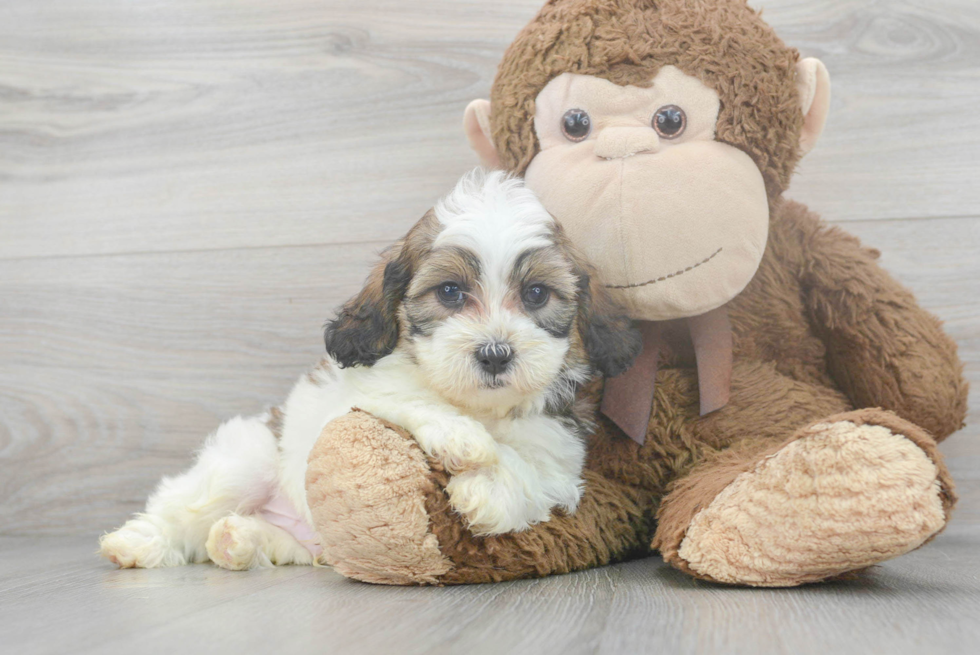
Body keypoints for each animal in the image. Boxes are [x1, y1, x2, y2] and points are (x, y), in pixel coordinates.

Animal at [97, 172, 636, 572]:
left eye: (537, 294)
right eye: (450, 293)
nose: (496, 353)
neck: (480, 406)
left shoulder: (561, 453)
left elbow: (532, 473)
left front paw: (485, 492)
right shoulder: (363, 391)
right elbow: (412, 398)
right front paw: (464, 441)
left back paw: (237, 539)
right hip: (246, 461)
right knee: (185, 503)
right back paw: (138, 542)